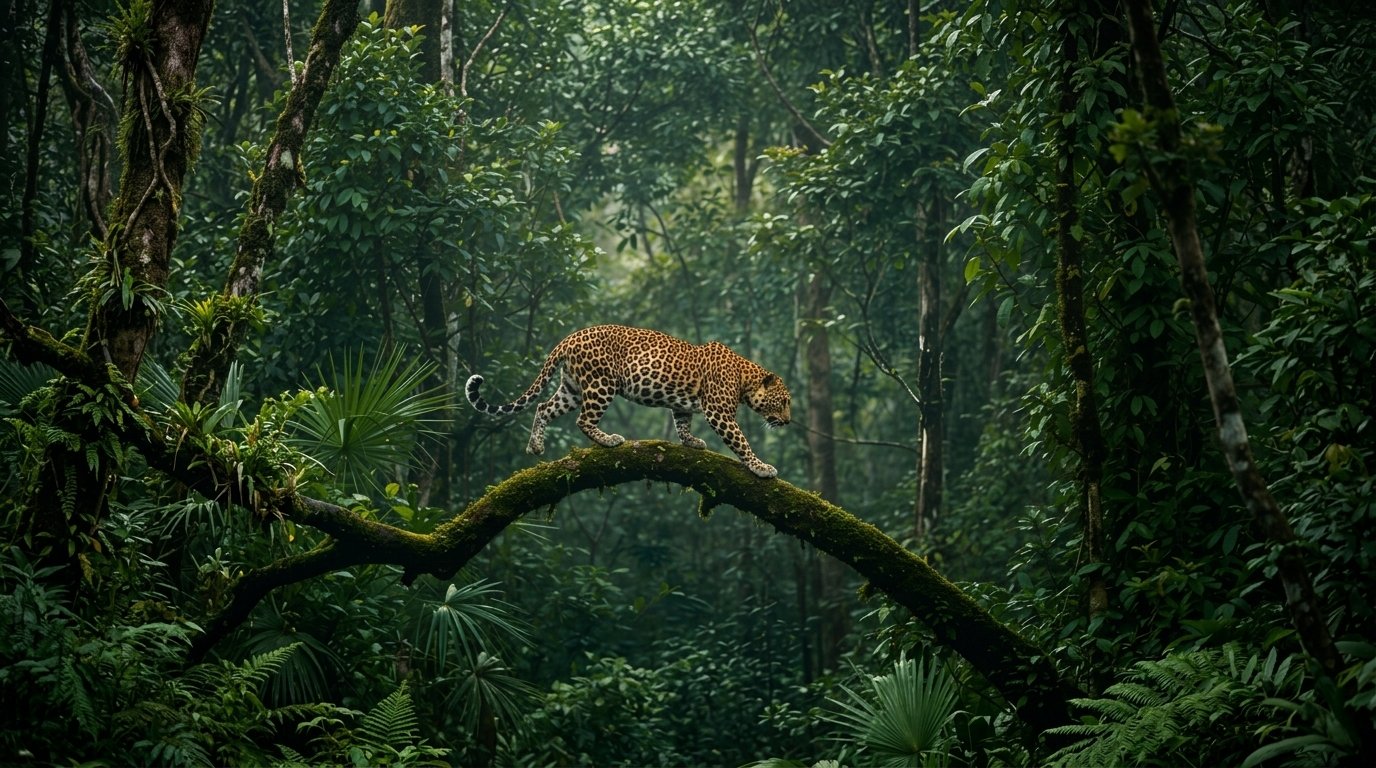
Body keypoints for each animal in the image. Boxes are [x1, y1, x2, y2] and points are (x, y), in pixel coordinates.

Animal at [465, 324, 791, 478]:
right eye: (784, 401)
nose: (788, 422)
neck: (745, 378)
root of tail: (569, 338)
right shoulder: (719, 412)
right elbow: (741, 442)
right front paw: (761, 467)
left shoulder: (682, 406)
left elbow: (682, 424)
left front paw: (692, 442)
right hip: (601, 384)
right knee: (583, 419)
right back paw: (609, 440)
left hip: (571, 388)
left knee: (543, 407)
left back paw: (535, 445)